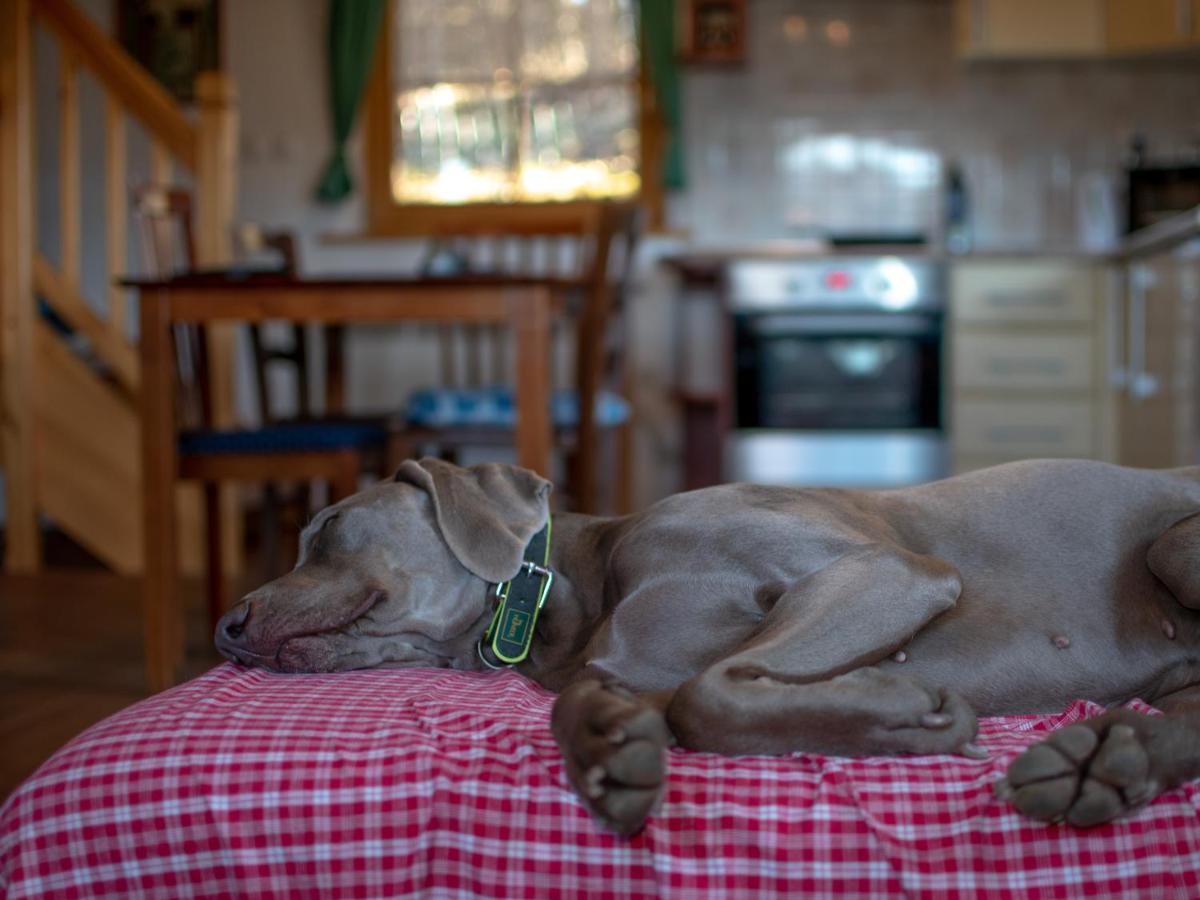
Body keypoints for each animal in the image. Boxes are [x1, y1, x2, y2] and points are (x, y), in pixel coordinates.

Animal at [213, 460, 1200, 835]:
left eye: (326, 529)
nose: (224, 625)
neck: (578, 591)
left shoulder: (885, 572)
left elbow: (705, 693)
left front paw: (900, 712)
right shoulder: (609, 668)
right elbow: (616, 701)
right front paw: (613, 754)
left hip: (1172, 546)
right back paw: (1097, 760)